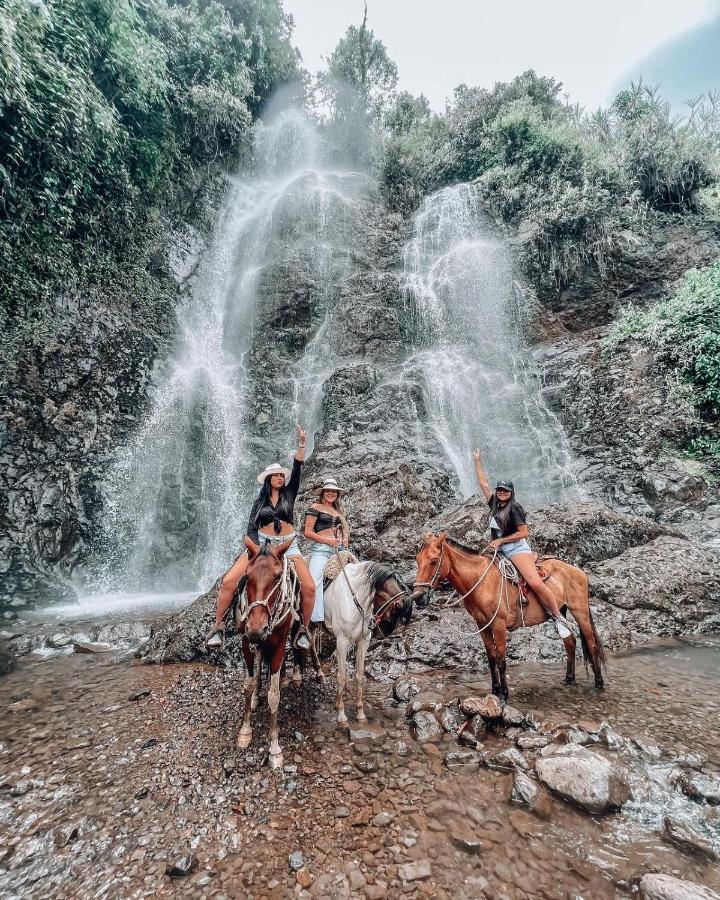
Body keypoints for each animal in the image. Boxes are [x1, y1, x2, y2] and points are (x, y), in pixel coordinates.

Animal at [233, 536, 296, 768]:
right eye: (247, 575)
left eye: (277, 577)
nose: (257, 629)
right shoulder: (245, 641)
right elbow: (248, 685)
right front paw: (245, 731)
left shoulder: (279, 645)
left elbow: (274, 695)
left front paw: (274, 747)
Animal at [324, 564, 410, 724]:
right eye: (395, 611)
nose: (380, 634)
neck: (354, 598)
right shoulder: (342, 641)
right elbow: (342, 677)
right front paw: (341, 714)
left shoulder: (363, 642)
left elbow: (359, 675)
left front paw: (360, 713)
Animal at [408, 532, 604, 700]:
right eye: (417, 560)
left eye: (434, 561)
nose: (418, 597)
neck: (480, 580)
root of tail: (578, 570)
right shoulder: (482, 625)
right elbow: (491, 658)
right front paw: (495, 689)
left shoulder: (498, 625)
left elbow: (501, 660)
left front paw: (504, 693)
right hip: (559, 612)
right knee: (570, 642)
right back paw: (569, 679)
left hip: (580, 612)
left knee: (591, 644)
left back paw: (599, 682)